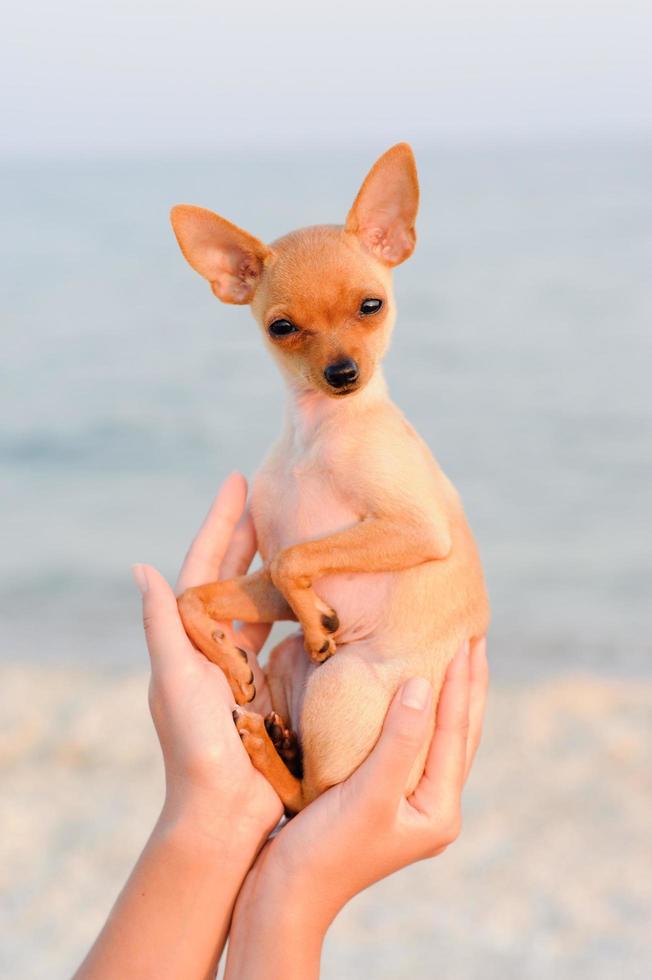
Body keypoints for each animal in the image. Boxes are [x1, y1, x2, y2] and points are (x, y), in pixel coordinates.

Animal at [171, 140, 486, 812]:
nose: (343, 373)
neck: (315, 435)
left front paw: (317, 622)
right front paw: (230, 660)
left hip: (339, 679)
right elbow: (196, 596)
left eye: (372, 306)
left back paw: (269, 749)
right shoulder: (272, 571)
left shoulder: (414, 529)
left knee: (309, 796)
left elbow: (297, 560)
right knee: (304, 796)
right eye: (281, 328)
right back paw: (279, 739)